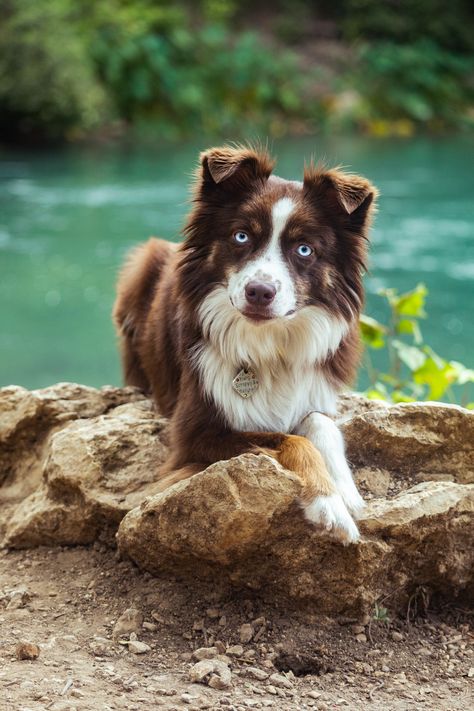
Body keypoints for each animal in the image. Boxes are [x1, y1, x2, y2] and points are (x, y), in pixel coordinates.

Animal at [114, 145, 378, 544]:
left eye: (304, 249)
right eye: (241, 237)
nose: (260, 292)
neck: (269, 344)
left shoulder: (315, 393)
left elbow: (319, 423)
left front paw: (345, 489)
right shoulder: (195, 434)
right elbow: (290, 441)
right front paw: (328, 504)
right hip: (142, 263)